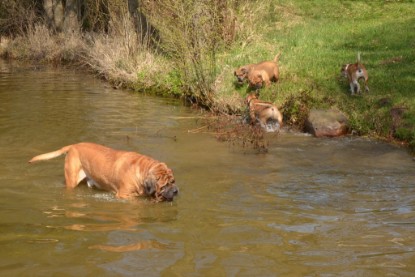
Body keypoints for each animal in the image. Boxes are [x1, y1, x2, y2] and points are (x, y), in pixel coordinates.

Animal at [28, 141, 178, 202]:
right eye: (164, 185)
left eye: (173, 181)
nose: (176, 191)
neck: (142, 170)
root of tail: (73, 146)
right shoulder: (123, 195)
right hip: (71, 179)